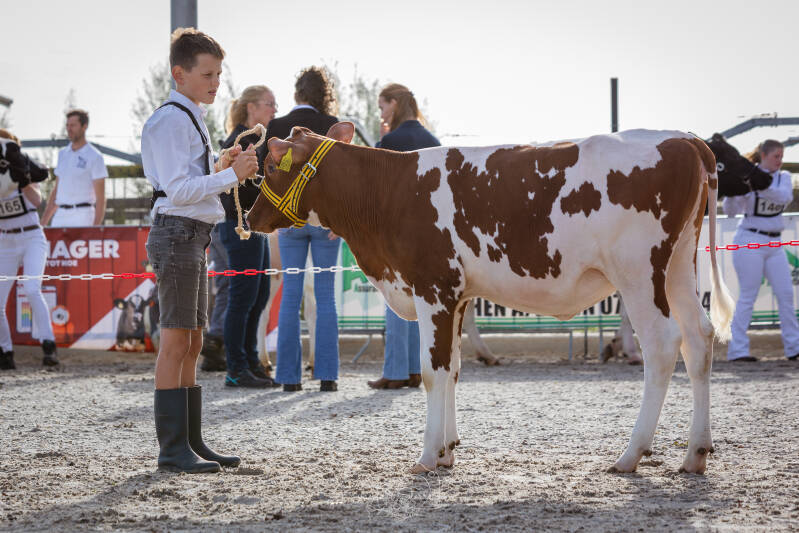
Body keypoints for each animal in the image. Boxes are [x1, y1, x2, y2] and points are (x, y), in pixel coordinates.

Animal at [246, 123, 735, 475]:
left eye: (269, 167)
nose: (249, 218)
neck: (388, 193)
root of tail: (685, 139)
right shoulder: (458, 296)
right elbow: (454, 369)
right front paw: (447, 450)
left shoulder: (433, 288)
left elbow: (432, 372)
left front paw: (427, 458)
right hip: (678, 267)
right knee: (699, 338)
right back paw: (695, 453)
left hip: (638, 271)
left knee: (663, 345)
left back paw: (631, 454)